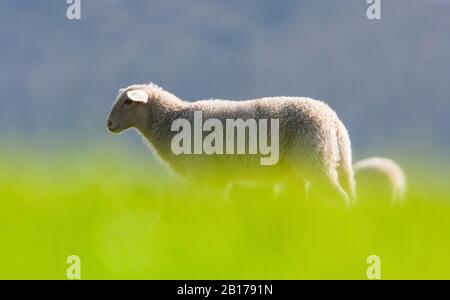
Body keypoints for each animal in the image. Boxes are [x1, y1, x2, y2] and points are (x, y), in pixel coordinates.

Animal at [107, 83, 356, 203]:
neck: (171, 121)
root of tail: (333, 120)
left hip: (314, 158)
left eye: (128, 102)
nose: (108, 124)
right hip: (311, 167)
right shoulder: (219, 179)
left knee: (339, 197)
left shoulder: (201, 171)